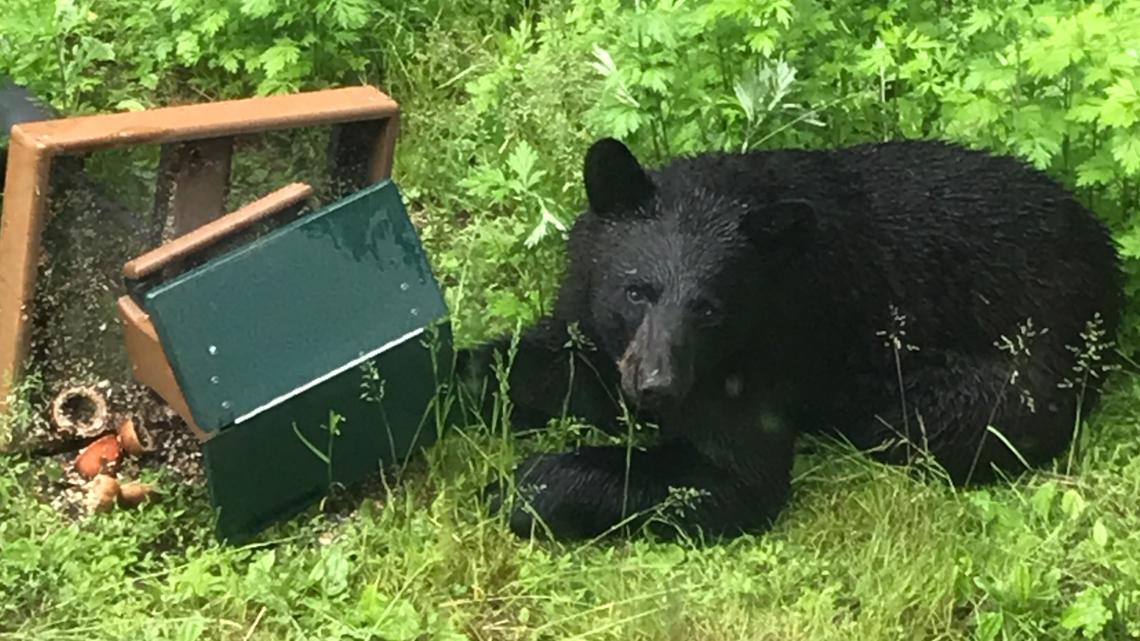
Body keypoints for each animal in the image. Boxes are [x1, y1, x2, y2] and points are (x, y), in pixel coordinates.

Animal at [458, 137, 1124, 542]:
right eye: (636, 290)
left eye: (709, 308)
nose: (655, 387)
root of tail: (1108, 258)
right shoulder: (594, 324)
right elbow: (543, 362)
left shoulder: (763, 348)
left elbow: (732, 476)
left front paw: (515, 486)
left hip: (1013, 370)